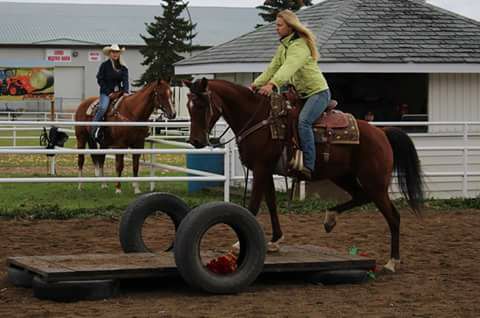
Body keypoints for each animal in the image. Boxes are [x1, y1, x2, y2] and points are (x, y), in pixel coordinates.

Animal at [184, 78, 424, 272]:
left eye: (202, 105)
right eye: (188, 106)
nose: (195, 141)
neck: (259, 119)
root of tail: (382, 132)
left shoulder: (260, 169)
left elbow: (253, 206)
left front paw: (238, 244)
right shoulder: (267, 171)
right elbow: (271, 204)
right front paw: (275, 241)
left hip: (375, 182)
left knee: (393, 216)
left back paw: (392, 262)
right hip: (344, 176)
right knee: (360, 197)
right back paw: (330, 219)